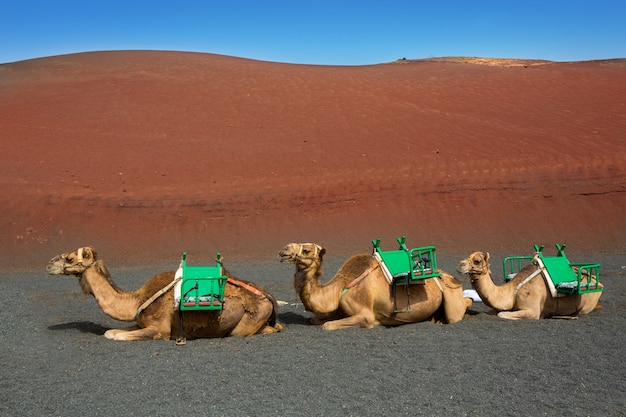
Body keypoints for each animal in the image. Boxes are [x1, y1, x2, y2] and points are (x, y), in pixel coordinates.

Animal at [45, 247, 284, 338]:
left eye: (69, 258)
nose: (48, 264)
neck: (136, 300)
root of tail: (269, 296)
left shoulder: (159, 329)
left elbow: (118, 336)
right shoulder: (140, 321)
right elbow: (111, 332)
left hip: (250, 319)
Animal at [276, 242, 470, 330]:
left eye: (307, 250)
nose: (284, 250)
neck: (340, 287)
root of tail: (451, 277)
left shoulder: (366, 314)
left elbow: (327, 325)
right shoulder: (340, 308)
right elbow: (315, 319)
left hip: (451, 296)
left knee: (459, 309)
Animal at [456, 250, 604, 318]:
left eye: (477, 261)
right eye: (468, 256)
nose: (460, 265)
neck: (512, 292)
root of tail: (596, 281)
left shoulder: (532, 310)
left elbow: (502, 314)